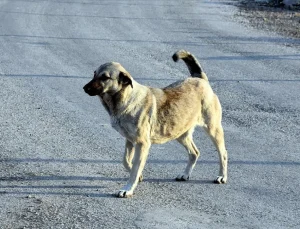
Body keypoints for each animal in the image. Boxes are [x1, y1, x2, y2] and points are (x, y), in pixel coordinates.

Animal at [83, 51, 229, 198]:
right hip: (180, 133)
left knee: (223, 153)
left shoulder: (142, 144)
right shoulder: (130, 141)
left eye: (105, 77)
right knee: (194, 152)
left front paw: (128, 189)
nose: (84, 88)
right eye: (94, 74)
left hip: (213, 129)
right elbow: (125, 161)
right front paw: (139, 176)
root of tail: (200, 79)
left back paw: (222, 176)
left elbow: (135, 168)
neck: (127, 98)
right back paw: (185, 174)